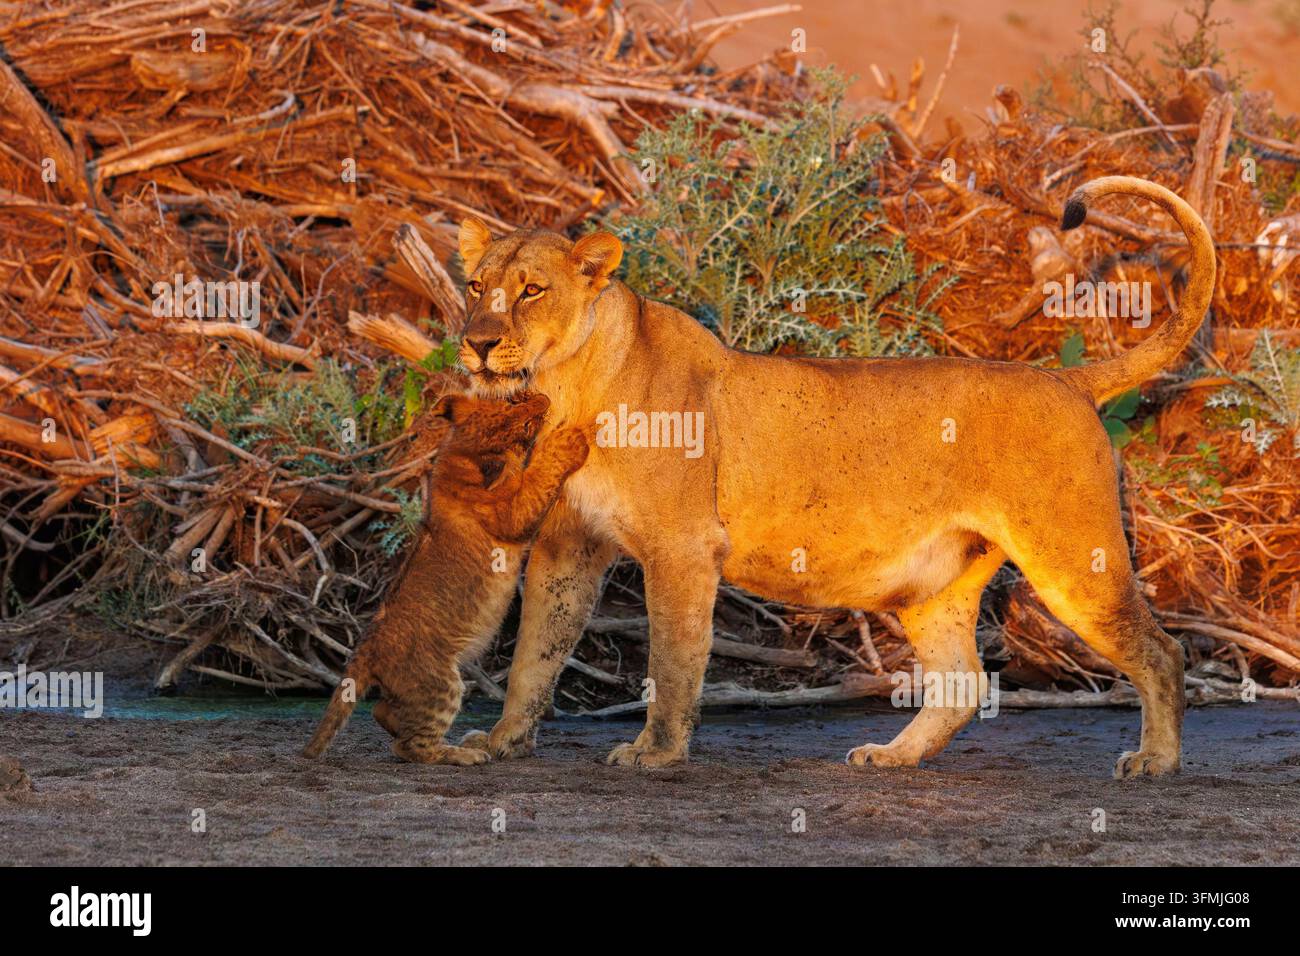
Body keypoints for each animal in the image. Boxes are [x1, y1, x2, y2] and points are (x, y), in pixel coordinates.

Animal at [302, 391, 588, 764]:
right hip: (442, 684)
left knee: (382, 712)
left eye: (510, 401)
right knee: (410, 746)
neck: (458, 458)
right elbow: (540, 477)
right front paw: (569, 441)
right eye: (519, 416)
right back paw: (463, 754)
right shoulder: (510, 515)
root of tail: (366, 650)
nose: (540, 398)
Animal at [454, 176, 1213, 778]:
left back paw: (1156, 761)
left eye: (531, 291)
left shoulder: (682, 547)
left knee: (1164, 651)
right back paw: (892, 757)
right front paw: (498, 743)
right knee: (962, 683)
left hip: (1073, 557)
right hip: (935, 586)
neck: (565, 387)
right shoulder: (567, 544)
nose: (478, 342)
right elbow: (533, 655)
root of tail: (1066, 380)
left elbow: (671, 660)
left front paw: (656, 753)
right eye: (476, 287)